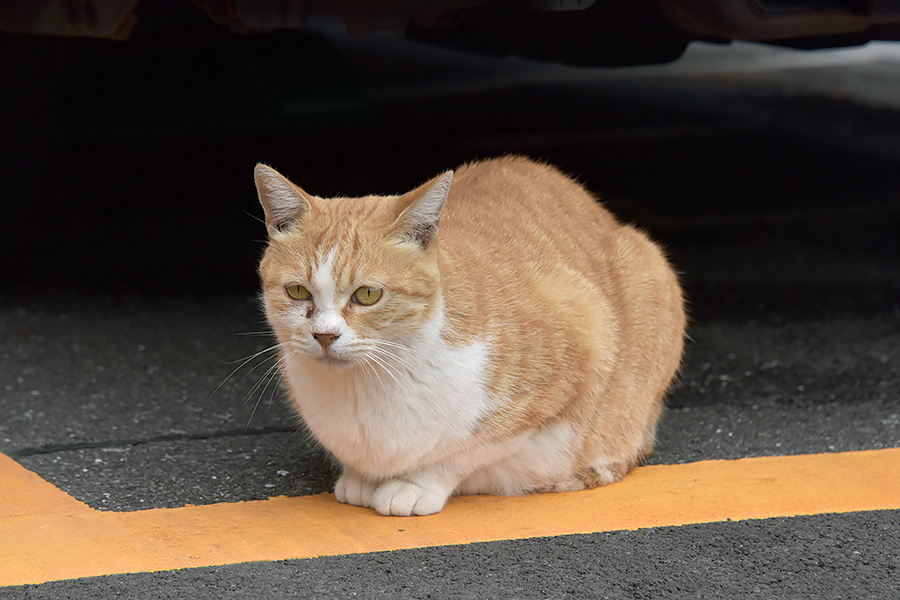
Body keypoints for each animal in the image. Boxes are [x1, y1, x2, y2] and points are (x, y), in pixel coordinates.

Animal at [256, 156, 684, 516]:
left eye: (368, 295)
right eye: (298, 291)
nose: (324, 335)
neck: (364, 386)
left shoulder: (577, 344)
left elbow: (462, 452)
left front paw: (414, 484)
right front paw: (361, 478)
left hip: (649, 270)